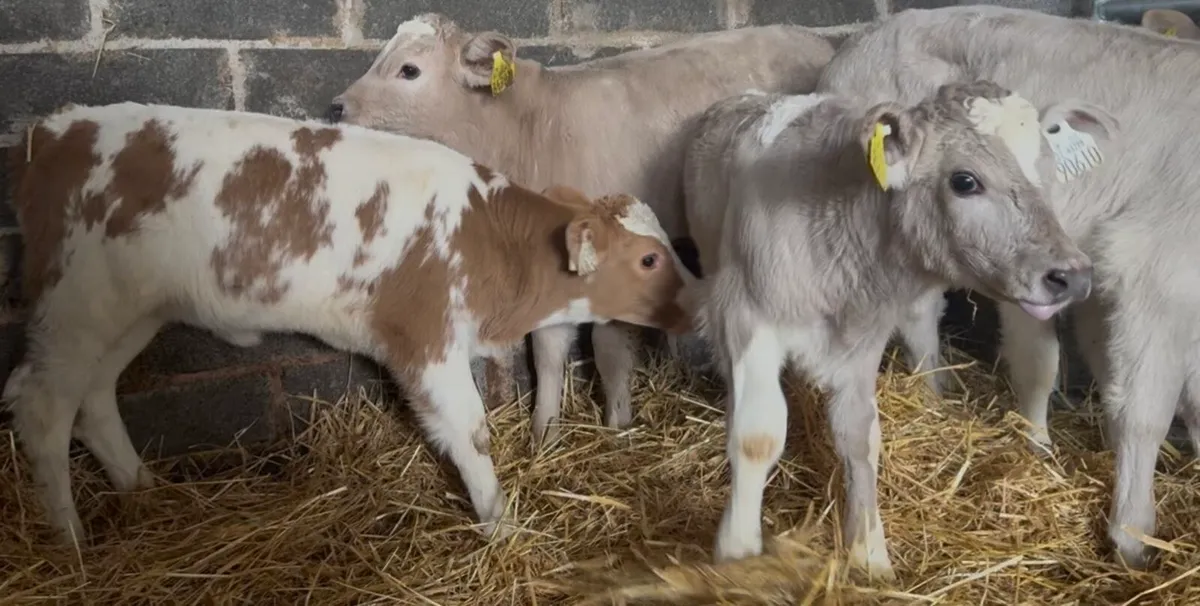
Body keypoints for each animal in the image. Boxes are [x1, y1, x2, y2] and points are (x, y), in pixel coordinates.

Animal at [3, 101, 693, 545]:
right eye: (649, 259)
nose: (696, 301)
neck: (487, 240)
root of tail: (54, 130)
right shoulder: (425, 339)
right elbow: (470, 433)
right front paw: (502, 526)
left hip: (132, 311)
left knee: (93, 398)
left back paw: (142, 489)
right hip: (77, 304)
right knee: (42, 405)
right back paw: (72, 543)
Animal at [323, 13, 941, 449]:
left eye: (408, 70)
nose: (336, 107)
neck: (526, 128)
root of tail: (818, 40)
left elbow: (608, 347)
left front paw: (617, 421)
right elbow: (548, 348)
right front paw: (545, 431)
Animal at [682, 81, 1094, 579]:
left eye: (1047, 169)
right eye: (965, 181)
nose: (1072, 275)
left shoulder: (864, 339)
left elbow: (860, 436)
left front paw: (869, 553)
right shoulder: (746, 316)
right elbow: (757, 436)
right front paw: (738, 552)